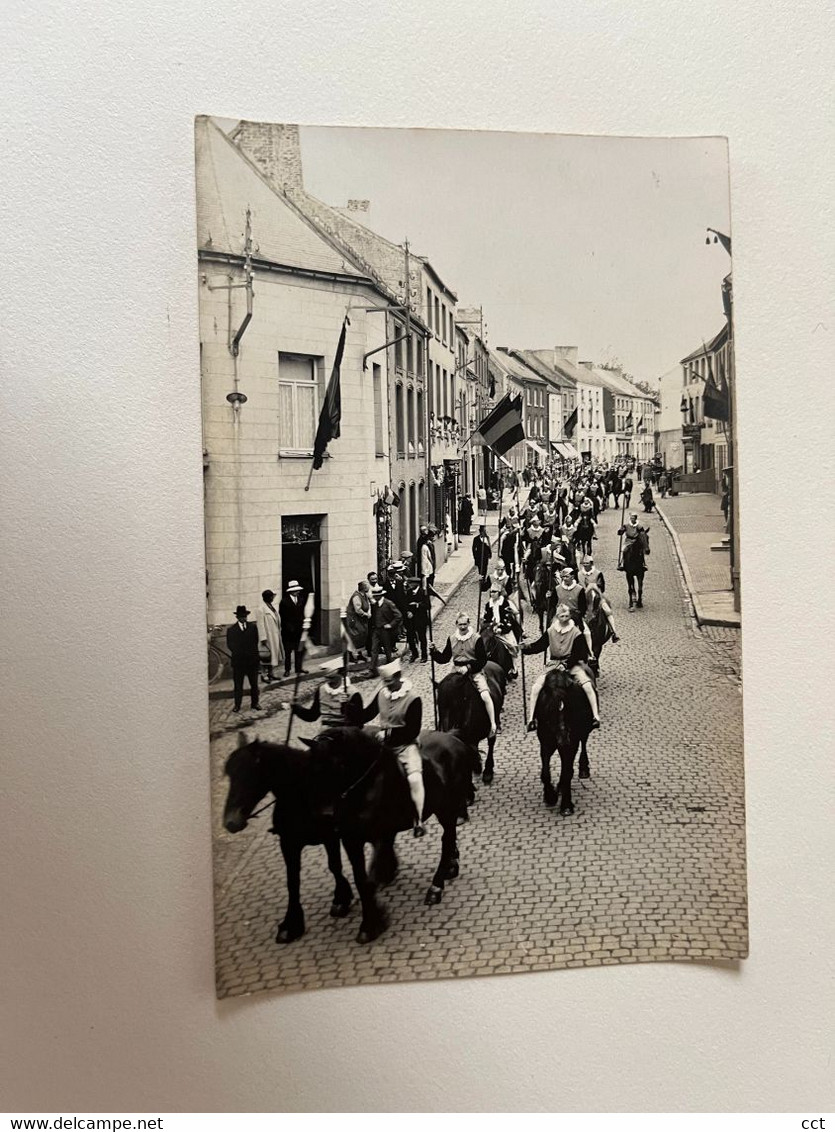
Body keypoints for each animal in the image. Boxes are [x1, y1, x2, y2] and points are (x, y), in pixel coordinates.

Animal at [219, 724, 468, 946]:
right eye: (229, 774)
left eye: (250, 774)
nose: (231, 822)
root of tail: (454, 739)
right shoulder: (305, 841)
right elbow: (298, 881)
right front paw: (291, 924)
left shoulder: (347, 836)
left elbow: (353, 874)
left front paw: (369, 919)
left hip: (446, 808)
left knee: (447, 839)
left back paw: (436, 886)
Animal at [529, 665, 597, 819]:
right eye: (549, 709)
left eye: (570, 707)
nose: (563, 740)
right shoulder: (545, 743)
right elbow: (545, 772)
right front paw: (550, 796)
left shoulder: (571, 744)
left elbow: (567, 773)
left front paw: (566, 806)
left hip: (584, 732)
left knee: (583, 744)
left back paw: (583, 769)